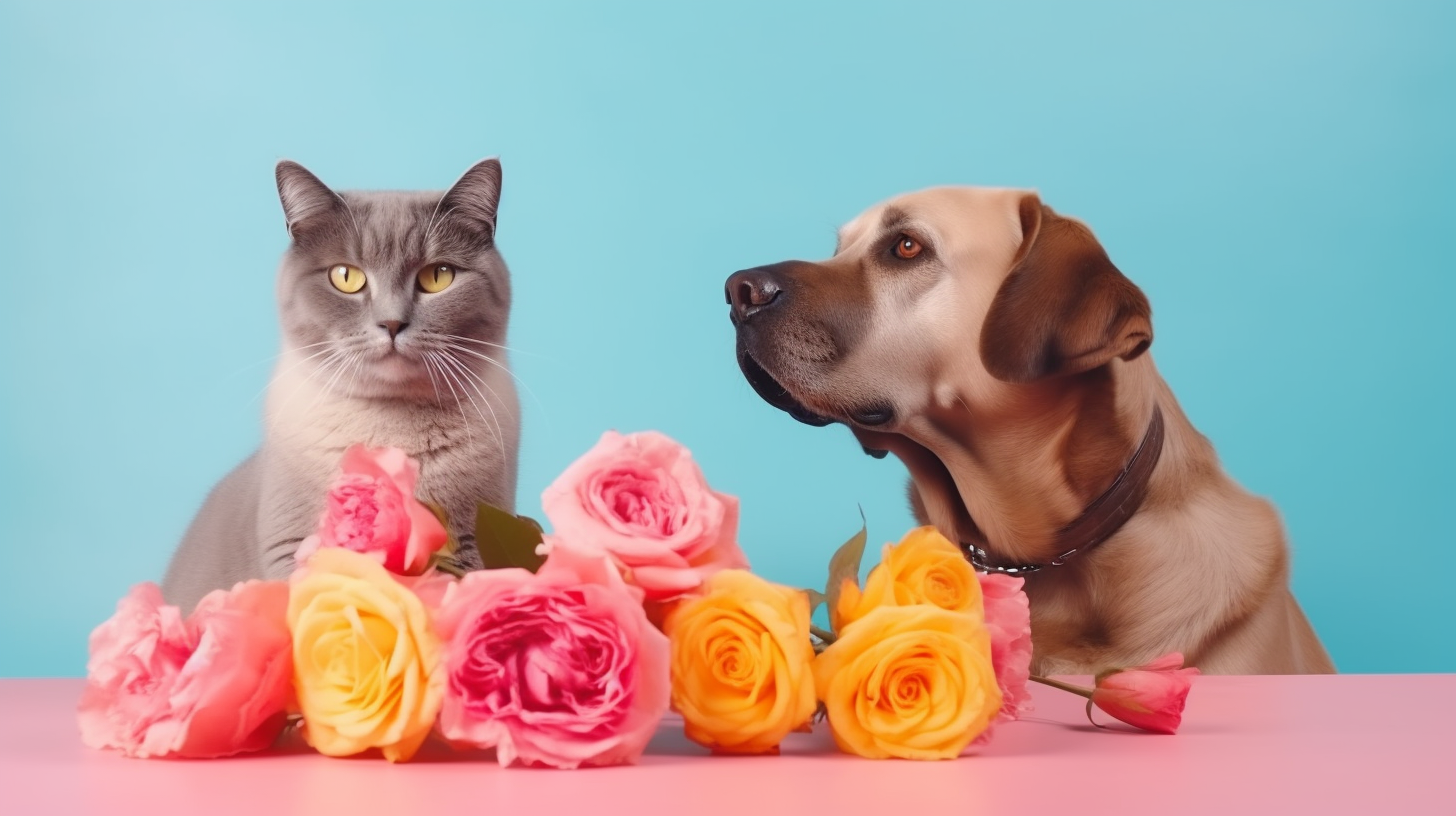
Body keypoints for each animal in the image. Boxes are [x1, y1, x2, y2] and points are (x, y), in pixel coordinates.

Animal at [163, 159, 524, 609]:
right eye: (346, 278)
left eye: (438, 276)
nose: (391, 323)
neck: (389, 432)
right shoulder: (292, 547)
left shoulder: (470, 545)